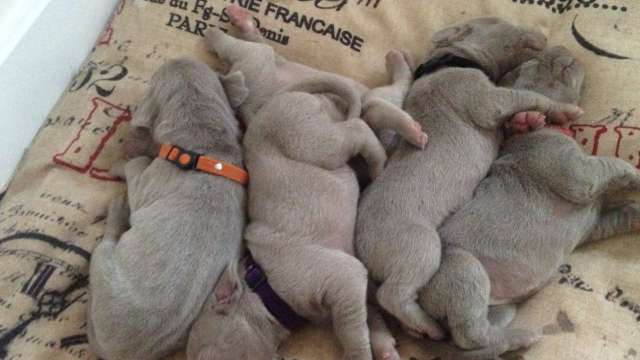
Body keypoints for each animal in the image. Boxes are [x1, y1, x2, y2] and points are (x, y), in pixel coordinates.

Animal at [89, 59, 249, 360]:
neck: (203, 148)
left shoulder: (145, 180)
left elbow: (134, 164)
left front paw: (120, 164)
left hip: (103, 261)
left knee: (108, 239)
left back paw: (117, 210)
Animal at [352, 17, 584, 344]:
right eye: (496, 21)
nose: (544, 36)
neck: (451, 60)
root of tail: (362, 256)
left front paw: (530, 120)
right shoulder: (484, 98)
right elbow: (526, 97)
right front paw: (562, 109)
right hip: (417, 244)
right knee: (394, 294)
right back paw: (428, 325)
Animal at [420, 46, 640, 358]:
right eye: (532, 63)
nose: (559, 48)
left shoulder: (594, 224)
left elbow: (619, 215)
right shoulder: (575, 174)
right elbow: (606, 165)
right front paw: (634, 173)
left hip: (499, 307)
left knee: (476, 333)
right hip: (461, 270)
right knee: (469, 333)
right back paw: (520, 339)